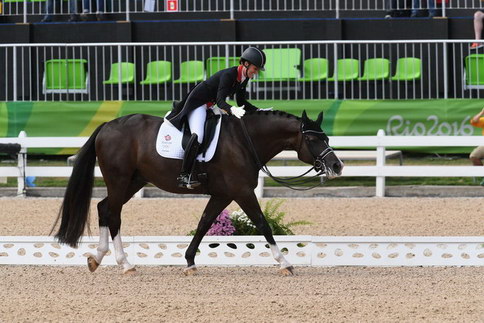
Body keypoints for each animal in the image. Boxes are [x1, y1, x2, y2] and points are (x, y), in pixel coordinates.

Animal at [53, 109, 342, 276]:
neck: (245, 141)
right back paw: (125, 264)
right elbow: (262, 224)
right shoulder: (242, 191)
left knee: (104, 208)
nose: (337, 166)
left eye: (326, 137)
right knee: (113, 213)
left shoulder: (223, 194)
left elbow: (204, 223)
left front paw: (190, 261)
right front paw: (284, 262)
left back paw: (97, 259)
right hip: (119, 179)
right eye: (313, 139)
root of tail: (107, 126)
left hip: (133, 181)